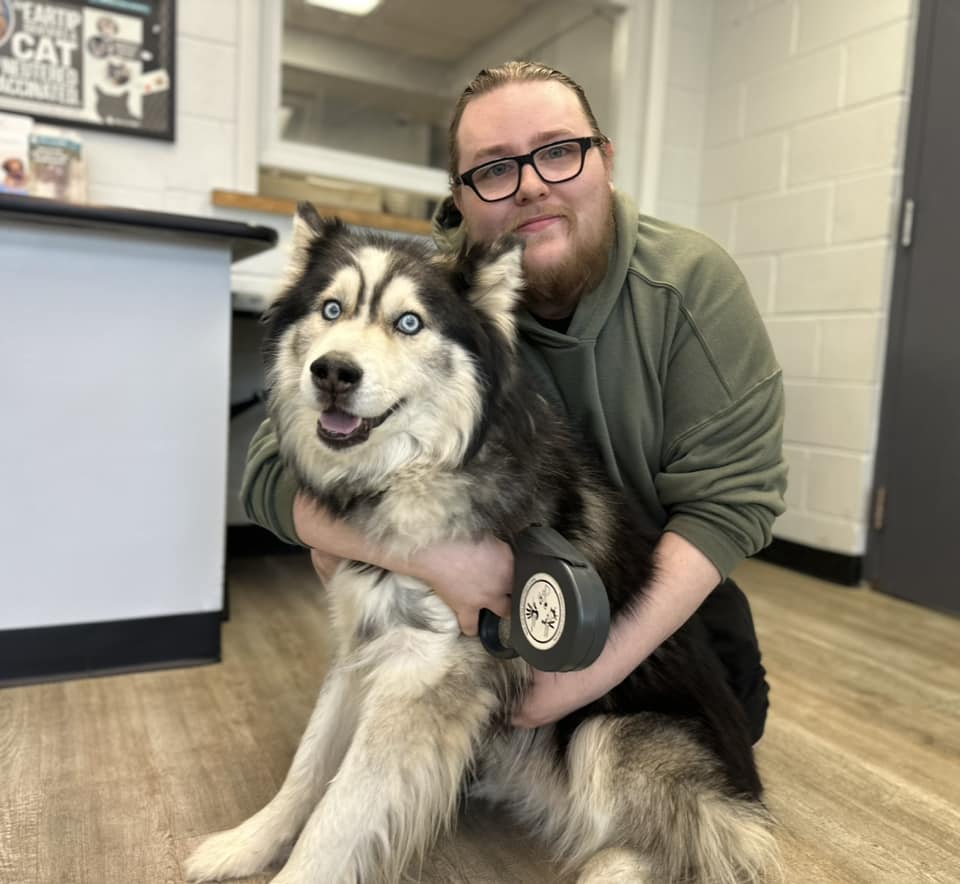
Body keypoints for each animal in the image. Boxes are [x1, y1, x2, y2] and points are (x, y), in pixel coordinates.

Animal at [186, 205, 780, 884]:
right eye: (331, 309)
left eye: (409, 322)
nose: (332, 371)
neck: (412, 470)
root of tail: (752, 792)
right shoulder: (362, 647)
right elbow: (307, 769)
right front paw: (247, 842)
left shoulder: (421, 675)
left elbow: (338, 813)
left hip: (611, 738)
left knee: (682, 852)